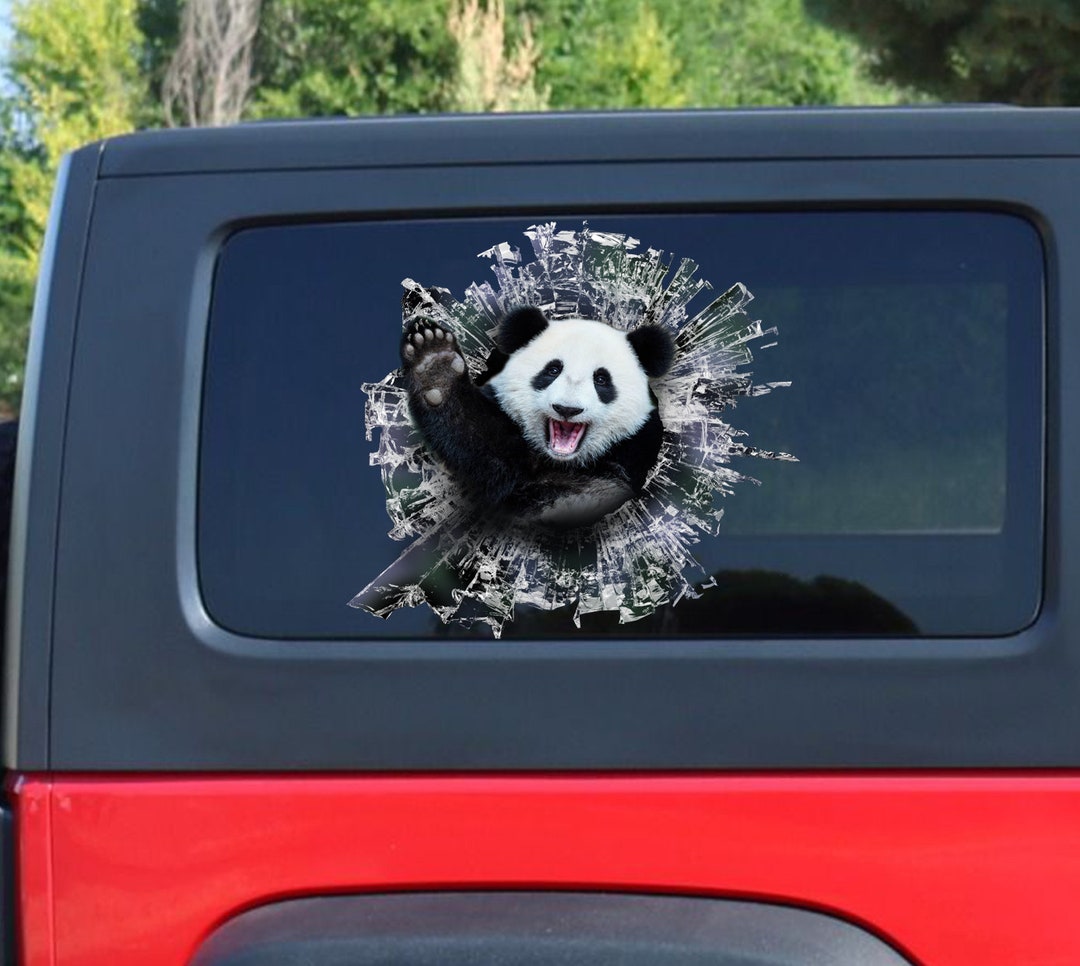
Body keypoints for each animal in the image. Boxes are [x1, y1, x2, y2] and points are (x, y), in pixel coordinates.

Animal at [401, 306, 674, 528]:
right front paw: (435, 364)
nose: (567, 409)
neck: (563, 462)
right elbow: (478, 442)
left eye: (601, 379)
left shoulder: (635, 448)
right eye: (552, 370)